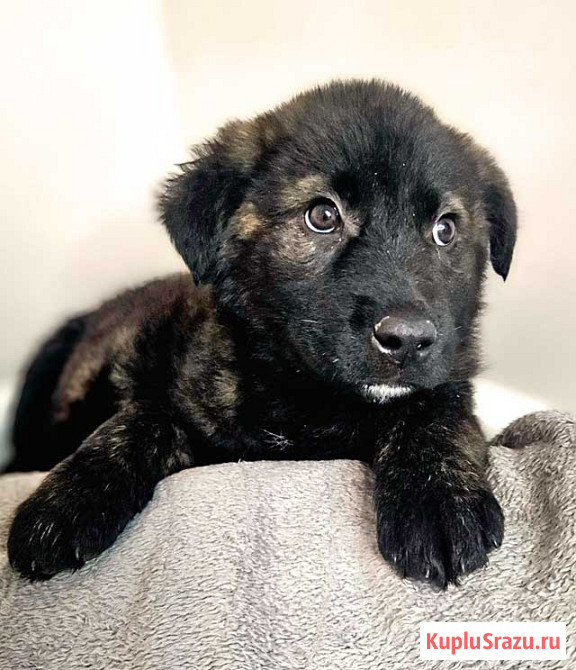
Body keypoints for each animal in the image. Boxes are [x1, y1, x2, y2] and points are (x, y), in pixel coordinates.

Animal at [6, 80, 516, 587]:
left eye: (445, 229)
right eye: (322, 216)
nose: (408, 340)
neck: (308, 397)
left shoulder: (447, 376)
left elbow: (436, 412)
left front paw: (439, 499)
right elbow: (140, 419)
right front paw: (67, 501)